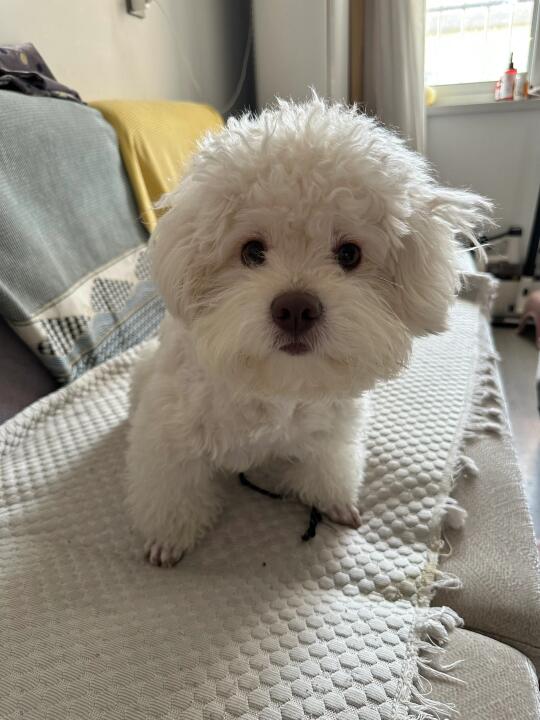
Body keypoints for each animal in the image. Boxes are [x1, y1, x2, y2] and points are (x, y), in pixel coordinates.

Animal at [126, 97, 490, 567]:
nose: (296, 308)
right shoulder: (170, 437)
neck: (277, 385)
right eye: (252, 251)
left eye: (349, 254)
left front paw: (334, 502)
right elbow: (172, 492)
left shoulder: (331, 431)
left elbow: (328, 468)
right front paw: (168, 539)